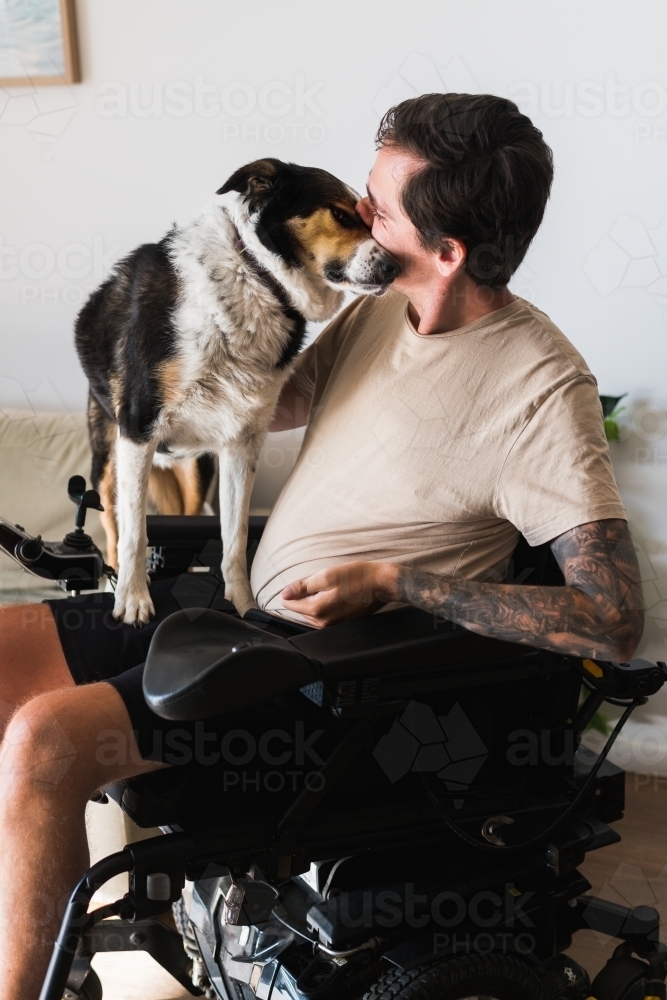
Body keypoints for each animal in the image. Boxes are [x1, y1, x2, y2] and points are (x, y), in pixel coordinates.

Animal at [77, 157, 402, 620]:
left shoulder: (241, 443)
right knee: (113, 525)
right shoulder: (137, 428)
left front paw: (244, 606)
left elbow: (236, 538)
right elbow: (135, 532)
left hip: (196, 472)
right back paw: (114, 583)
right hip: (107, 459)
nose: (397, 268)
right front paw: (135, 600)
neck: (259, 278)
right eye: (342, 215)